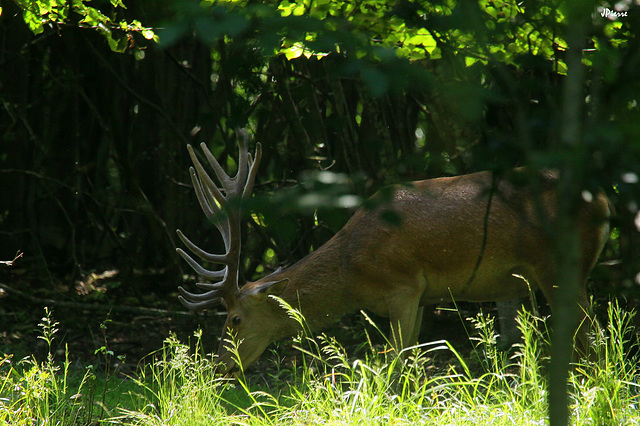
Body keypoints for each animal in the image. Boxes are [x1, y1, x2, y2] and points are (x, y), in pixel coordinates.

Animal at [174, 130, 608, 372]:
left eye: (234, 319)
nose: (220, 367)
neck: (351, 274)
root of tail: (603, 201)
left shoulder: (403, 286)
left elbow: (397, 364)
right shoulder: (422, 297)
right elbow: (413, 360)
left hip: (559, 264)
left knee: (590, 338)